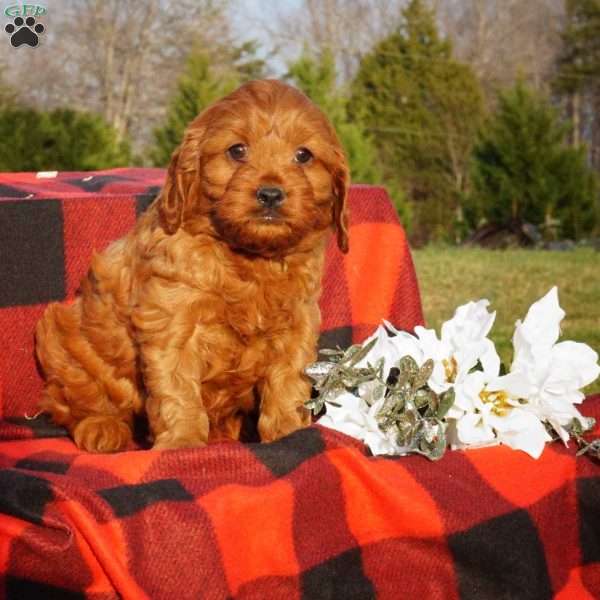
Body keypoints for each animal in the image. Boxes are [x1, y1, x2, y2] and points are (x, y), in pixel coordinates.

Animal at [35, 78, 350, 450]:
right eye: (236, 150)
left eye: (303, 155)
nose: (271, 194)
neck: (249, 258)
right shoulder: (172, 323)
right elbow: (177, 391)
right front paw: (182, 443)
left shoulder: (297, 325)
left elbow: (288, 385)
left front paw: (290, 433)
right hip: (63, 340)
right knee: (77, 398)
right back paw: (101, 428)